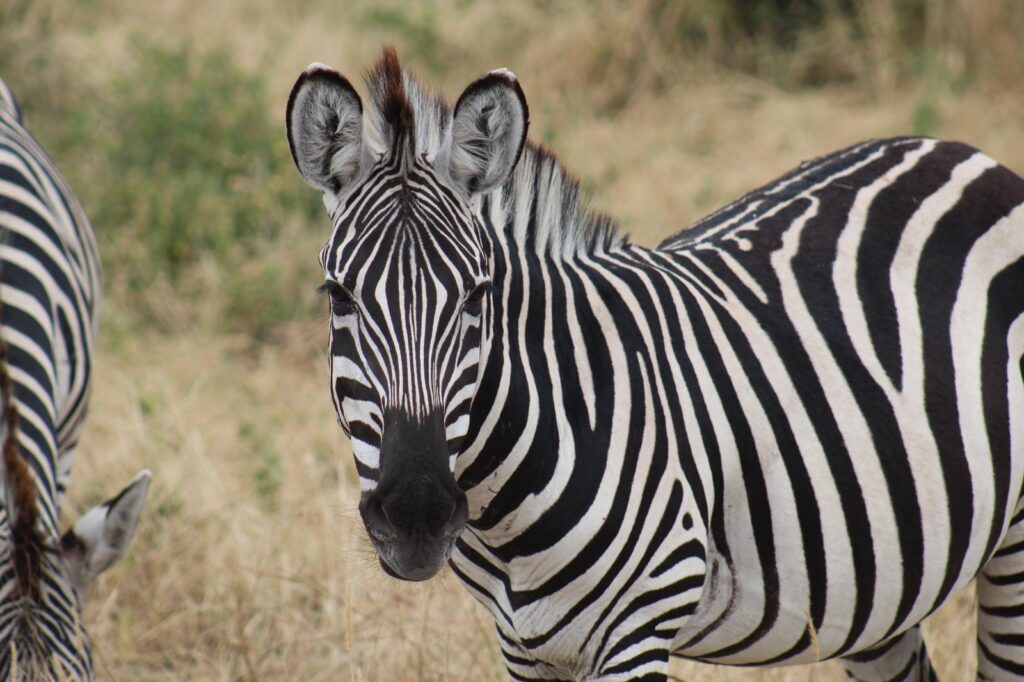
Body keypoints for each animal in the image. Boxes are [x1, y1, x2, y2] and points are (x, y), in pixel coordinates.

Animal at [284, 47, 1024, 679]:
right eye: (338, 295)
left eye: (477, 295)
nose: (417, 515)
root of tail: (958, 152)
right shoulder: (524, 647)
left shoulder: (639, 623)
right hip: (877, 582)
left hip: (1015, 543)